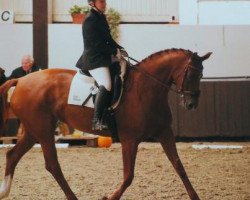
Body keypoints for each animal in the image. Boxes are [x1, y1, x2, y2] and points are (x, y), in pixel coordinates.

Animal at [0, 48, 211, 200]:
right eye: (191, 75)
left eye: (201, 75)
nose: (192, 104)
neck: (146, 89)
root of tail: (20, 80)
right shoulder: (129, 139)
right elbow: (129, 176)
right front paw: (109, 197)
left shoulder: (164, 132)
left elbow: (179, 166)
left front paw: (195, 197)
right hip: (43, 130)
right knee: (52, 165)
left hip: (33, 131)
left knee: (12, 155)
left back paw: (4, 191)